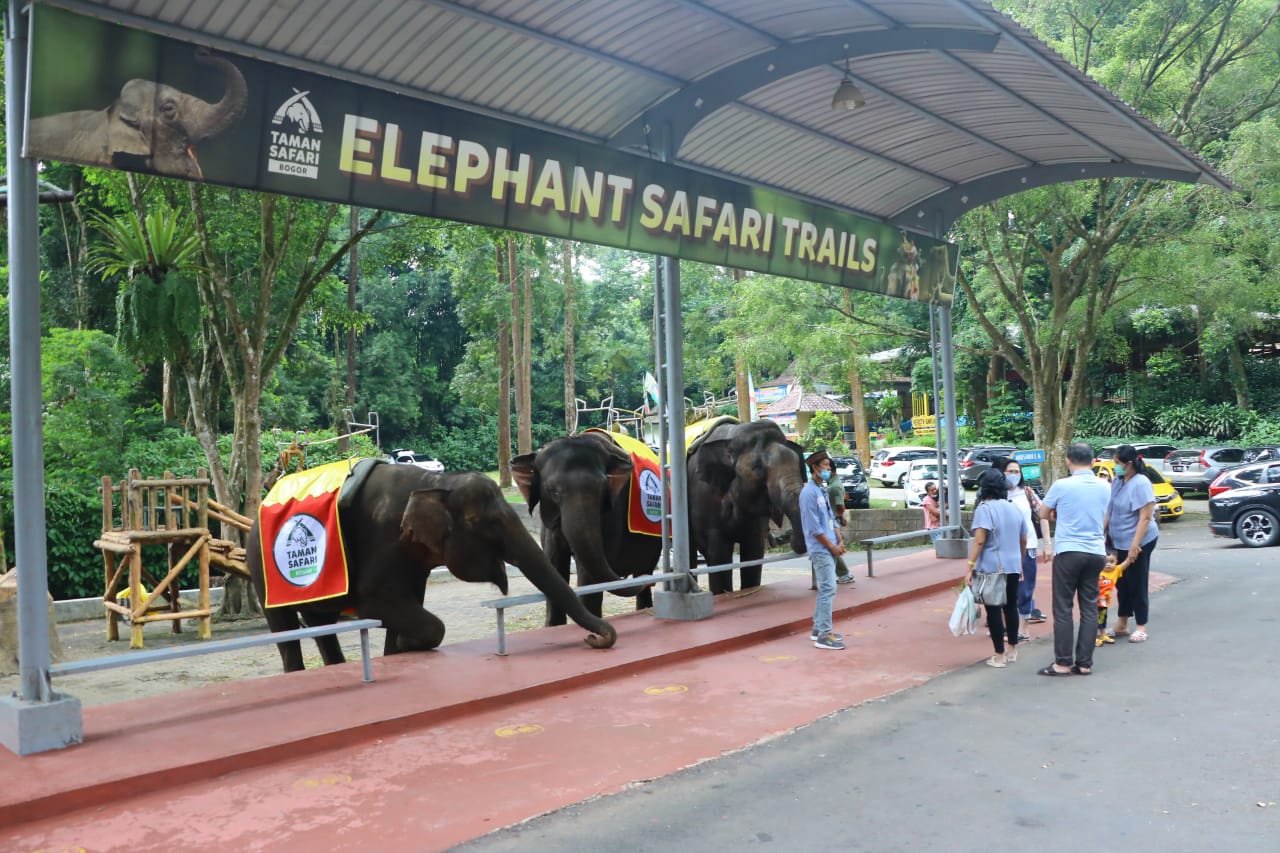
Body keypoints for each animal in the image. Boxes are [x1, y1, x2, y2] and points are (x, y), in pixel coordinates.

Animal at [247, 458, 616, 671]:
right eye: (491, 524)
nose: (593, 639)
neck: (434, 482)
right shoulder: (385, 540)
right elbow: (377, 602)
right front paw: (405, 645)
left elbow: (408, 602)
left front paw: (397, 648)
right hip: (261, 570)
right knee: (285, 629)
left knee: (319, 622)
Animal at [512, 432, 665, 625]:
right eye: (553, 491)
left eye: (603, 488)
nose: (649, 581)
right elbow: (554, 566)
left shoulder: (612, 514)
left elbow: (588, 576)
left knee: (644, 568)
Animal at [686, 417, 803, 591]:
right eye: (758, 468)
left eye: (797, 463)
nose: (789, 536)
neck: (732, 436)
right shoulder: (704, 497)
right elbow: (719, 555)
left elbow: (753, 552)